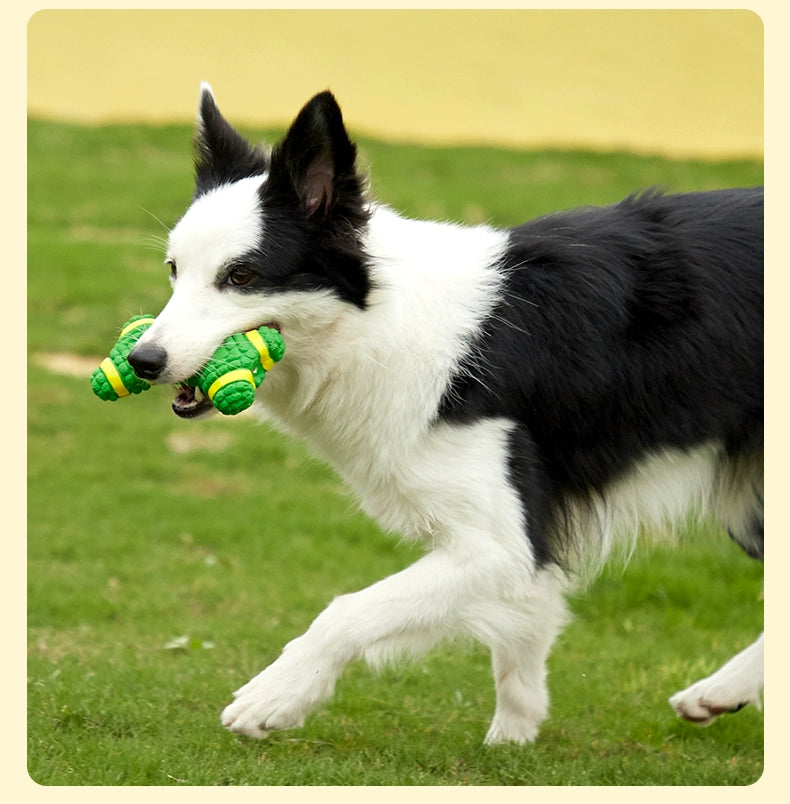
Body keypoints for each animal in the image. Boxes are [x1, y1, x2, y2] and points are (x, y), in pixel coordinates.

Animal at [130, 85, 768, 744]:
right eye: (175, 271)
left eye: (241, 275)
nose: (142, 360)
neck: (378, 325)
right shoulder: (512, 550)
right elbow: (523, 634)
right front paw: (514, 736)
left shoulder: (501, 544)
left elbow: (349, 609)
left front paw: (275, 697)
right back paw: (720, 693)